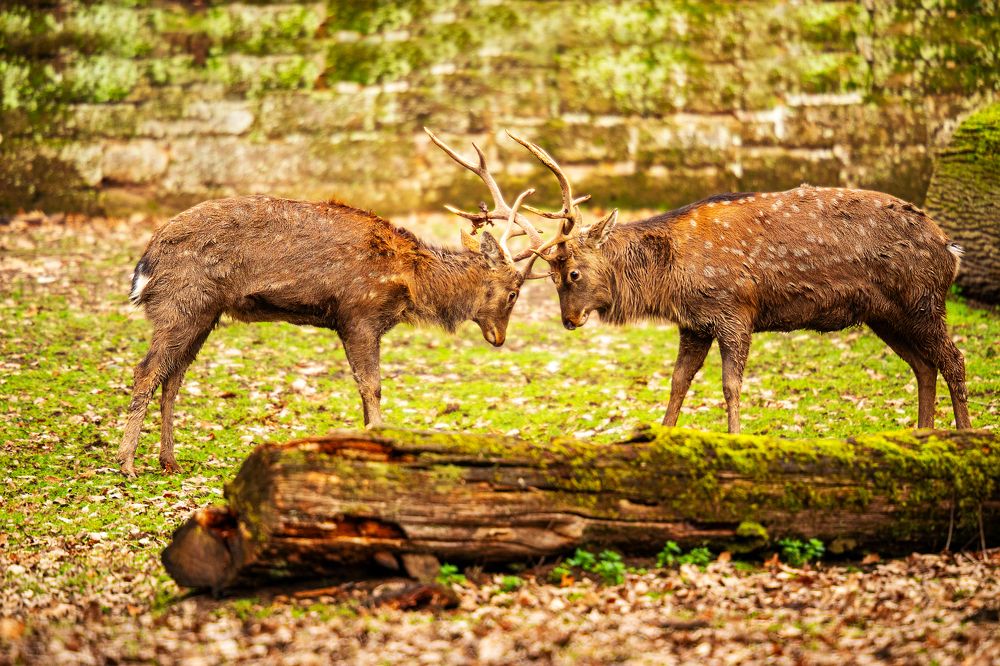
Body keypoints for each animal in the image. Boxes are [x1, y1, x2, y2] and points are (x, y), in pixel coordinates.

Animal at [117, 128, 549, 477]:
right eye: (514, 292)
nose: (499, 338)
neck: (410, 281)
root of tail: (146, 261)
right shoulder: (359, 315)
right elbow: (372, 386)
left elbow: (364, 389)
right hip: (181, 303)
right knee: (147, 370)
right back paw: (128, 464)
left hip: (203, 313)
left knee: (173, 376)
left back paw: (169, 462)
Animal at [510, 132, 973, 434]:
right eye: (550, 277)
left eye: (572, 273)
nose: (569, 320)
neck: (670, 278)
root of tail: (950, 249)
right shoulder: (694, 324)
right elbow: (678, 381)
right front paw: (664, 434)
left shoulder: (734, 311)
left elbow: (730, 385)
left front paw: (734, 437)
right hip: (886, 314)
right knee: (923, 366)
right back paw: (923, 434)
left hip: (923, 301)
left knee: (953, 359)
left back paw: (964, 433)